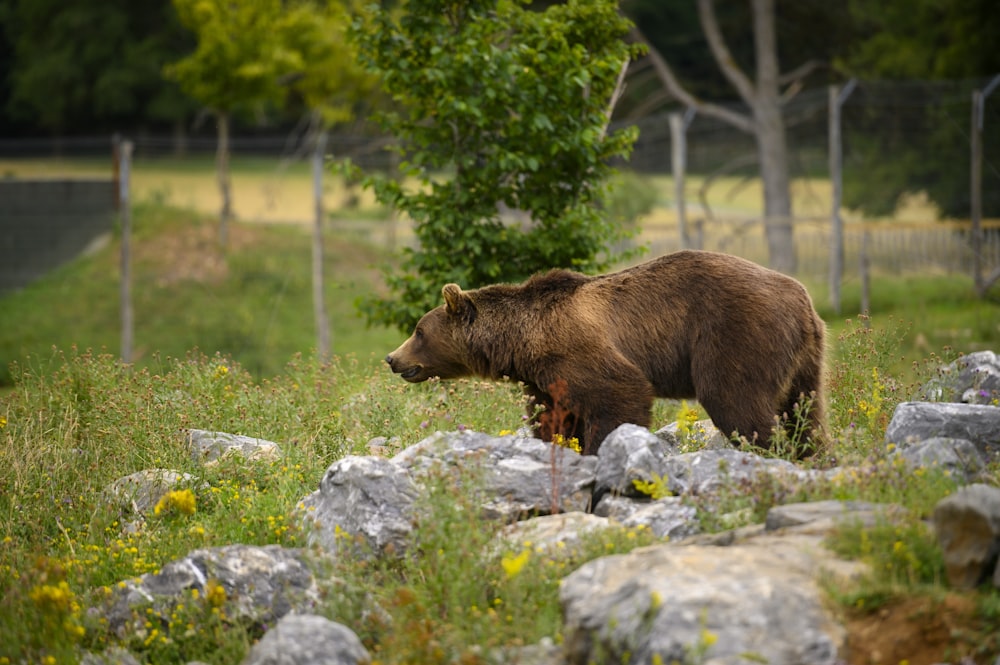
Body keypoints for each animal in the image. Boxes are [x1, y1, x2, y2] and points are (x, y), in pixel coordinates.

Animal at [386, 249, 824, 456]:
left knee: (736, 401)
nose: (392, 358)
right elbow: (553, 419)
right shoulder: (545, 378)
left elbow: (618, 395)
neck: (521, 343)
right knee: (804, 411)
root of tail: (802, 297)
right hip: (804, 359)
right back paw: (813, 454)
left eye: (418, 330)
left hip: (735, 333)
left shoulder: (577, 350)